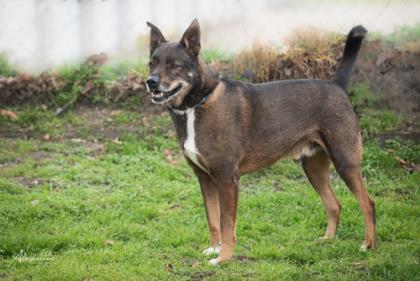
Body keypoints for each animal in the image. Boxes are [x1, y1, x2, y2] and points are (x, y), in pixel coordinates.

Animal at [146, 18, 376, 264]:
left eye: (175, 65)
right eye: (152, 63)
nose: (151, 82)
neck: (197, 104)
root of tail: (337, 85)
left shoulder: (226, 179)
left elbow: (227, 223)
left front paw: (223, 258)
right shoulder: (205, 179)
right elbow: (213, 219)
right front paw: (214, 248)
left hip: (345, 162)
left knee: (368, 204)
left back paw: (368, 245)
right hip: (314, 168)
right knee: (334, 205)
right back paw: (327, 240)